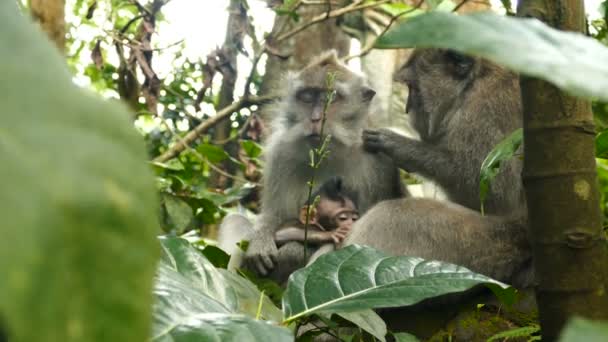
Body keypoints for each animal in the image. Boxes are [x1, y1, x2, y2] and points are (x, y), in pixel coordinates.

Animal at [221, 51, 406, 280]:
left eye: (331, 97)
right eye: (307, 96)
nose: (316, 118)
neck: (329, 151)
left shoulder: (379, 162)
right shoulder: (279, 152)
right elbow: (274, 214)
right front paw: (260, 241)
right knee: (235, 220)